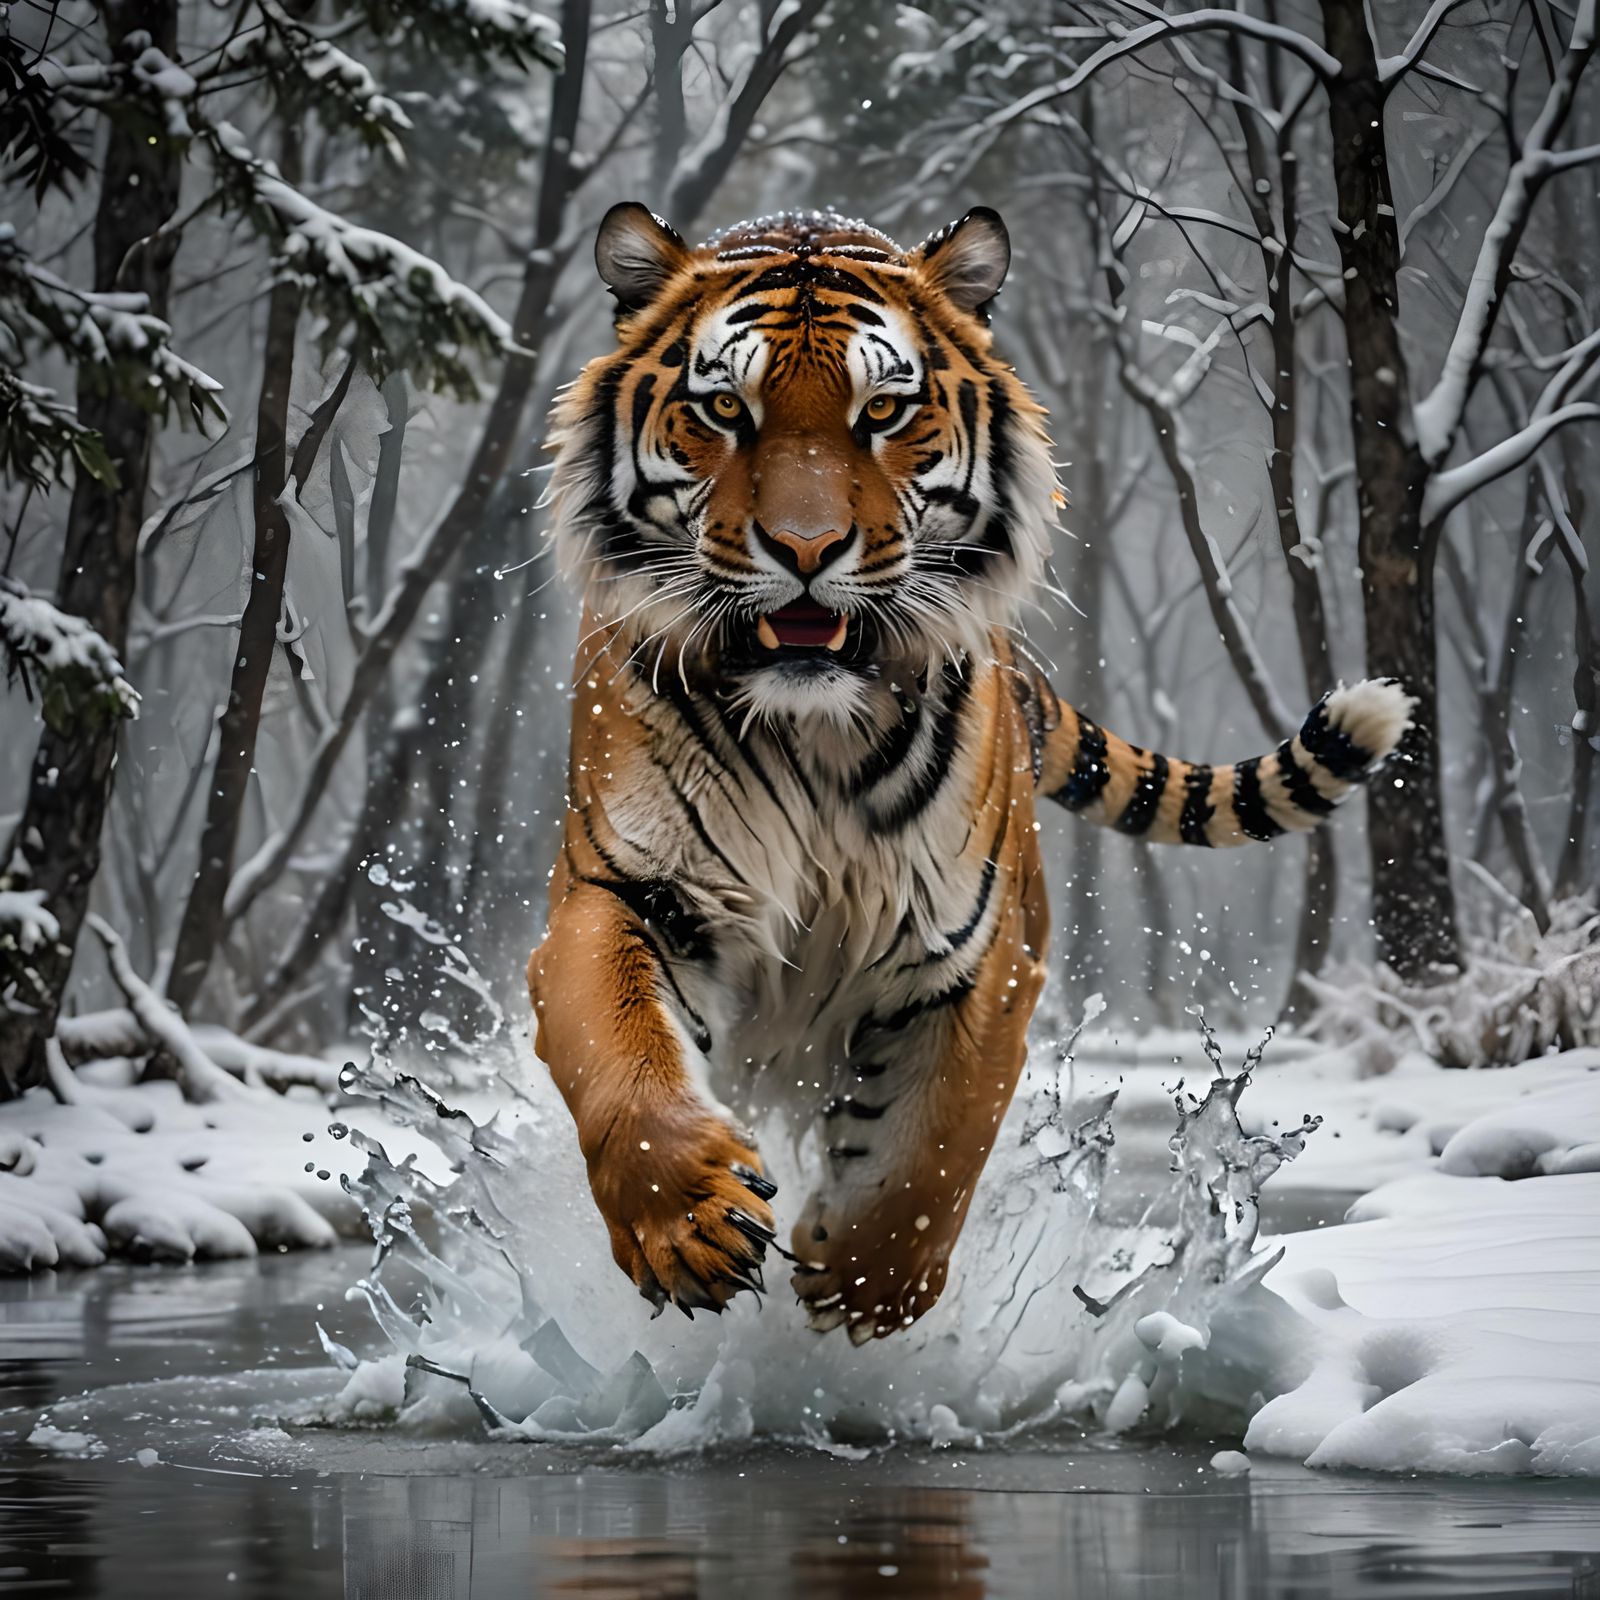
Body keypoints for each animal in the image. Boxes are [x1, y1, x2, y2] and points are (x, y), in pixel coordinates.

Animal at [527, 202, 1411, 1344]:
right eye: (723, 407)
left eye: (883, 411)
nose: (805, 548)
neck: (811, 731)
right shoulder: (629, 891)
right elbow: (623, 1061)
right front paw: (690, 1227)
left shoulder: (980, 952)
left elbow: (933, 1145)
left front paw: (860, 1279)